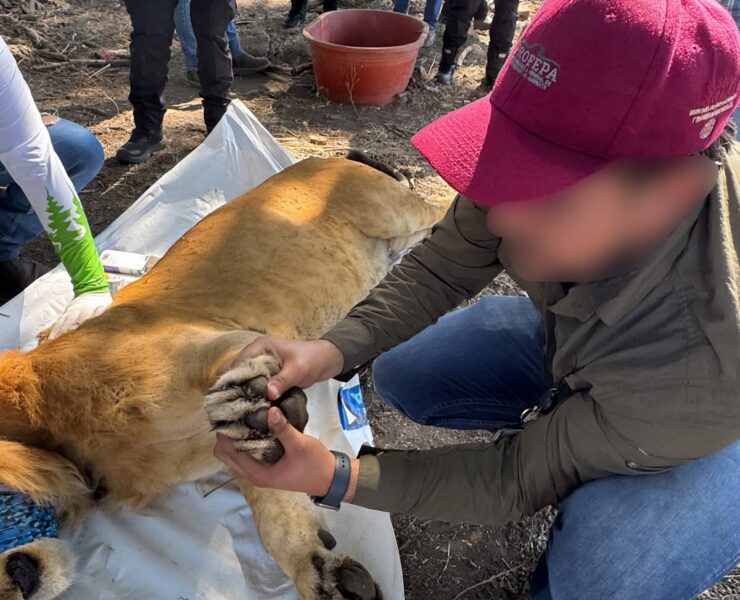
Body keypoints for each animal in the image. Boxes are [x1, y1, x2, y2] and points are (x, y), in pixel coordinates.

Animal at [0, 156, 447, 600]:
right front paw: (326, 576)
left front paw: (242, 402)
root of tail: (327, 157)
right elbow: (280, 518)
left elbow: (234, 367)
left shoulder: (226, 340)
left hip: (392, 211)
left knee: (446, 210)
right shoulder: (238, 460)